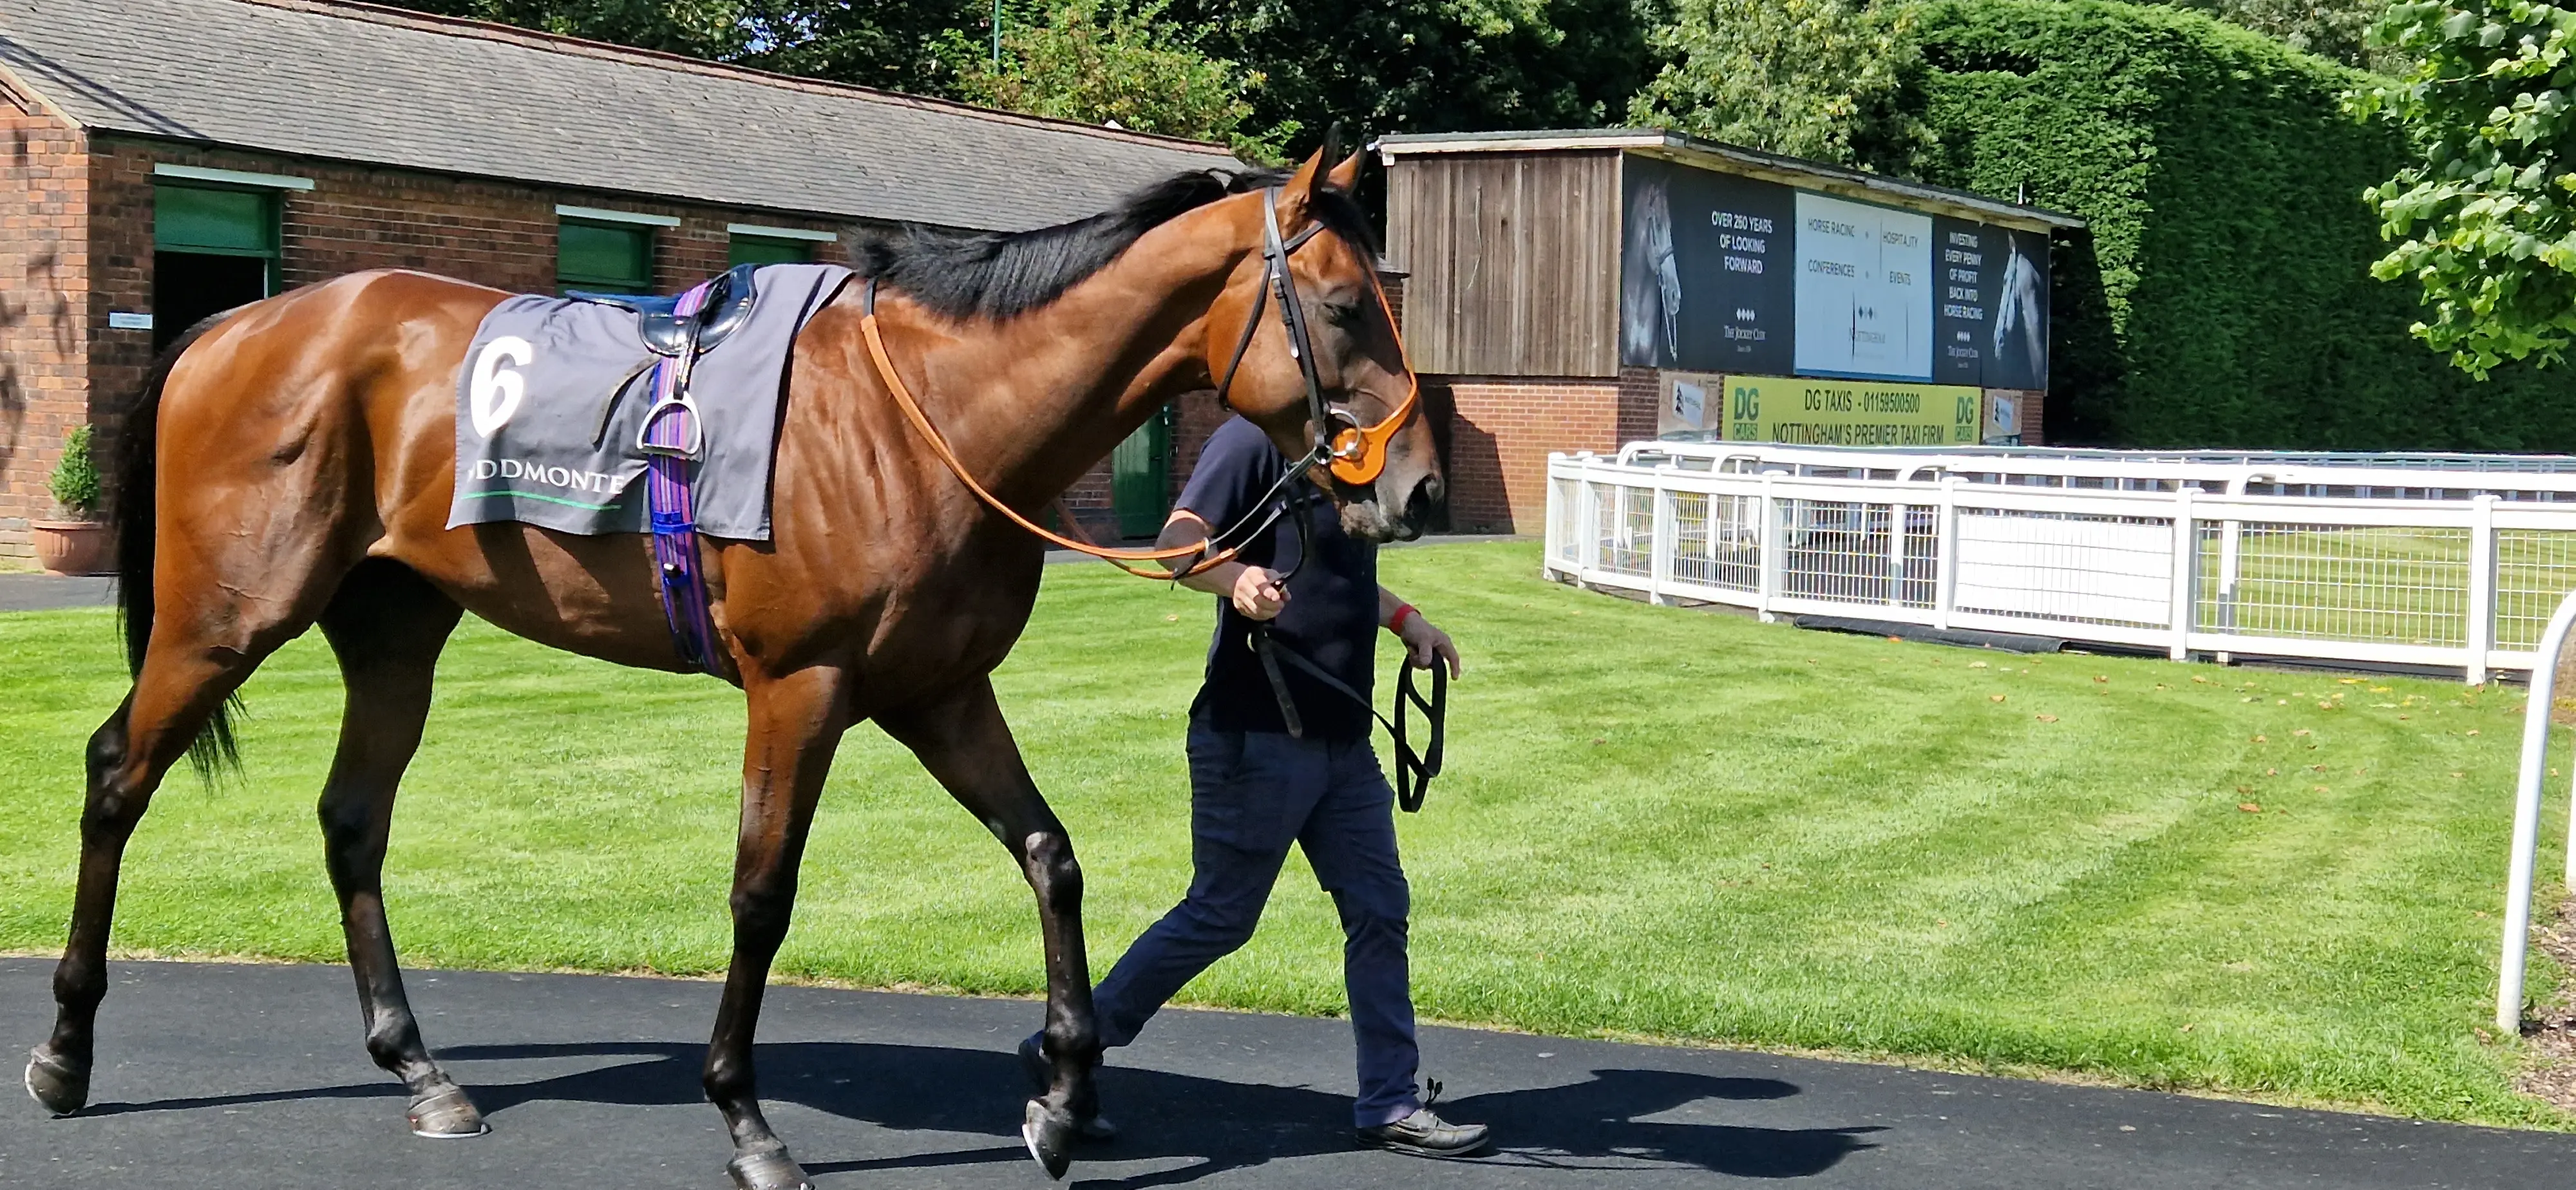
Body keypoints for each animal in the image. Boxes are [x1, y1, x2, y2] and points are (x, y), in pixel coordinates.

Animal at [20, 144, 1432, 1185]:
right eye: (1343, 307)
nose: (1413, 488)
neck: (930, 413)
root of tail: (232, 327)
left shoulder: (938, 691)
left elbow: (1052, 856)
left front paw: (1061, 1095)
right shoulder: (799, 686)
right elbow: (763, 892)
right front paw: (746, 1118)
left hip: (394, 626)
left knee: (351, 820)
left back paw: (421, 1071)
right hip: (225, 618)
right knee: (113, 775)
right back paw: (66, 1053)